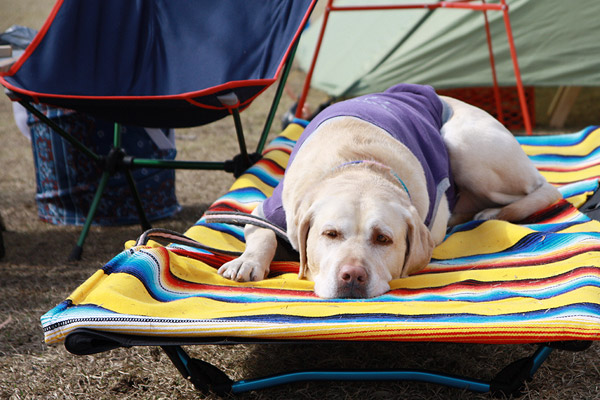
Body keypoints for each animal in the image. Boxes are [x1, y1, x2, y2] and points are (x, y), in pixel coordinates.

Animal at [218, 83, 560, 296]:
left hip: (465, 145)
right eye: (330, 234)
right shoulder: (267, 211)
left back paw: (493, 210)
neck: (361, 163)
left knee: (541, 190)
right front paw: (247, 261)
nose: (352, 275)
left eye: (383, 239)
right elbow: (263, 235)